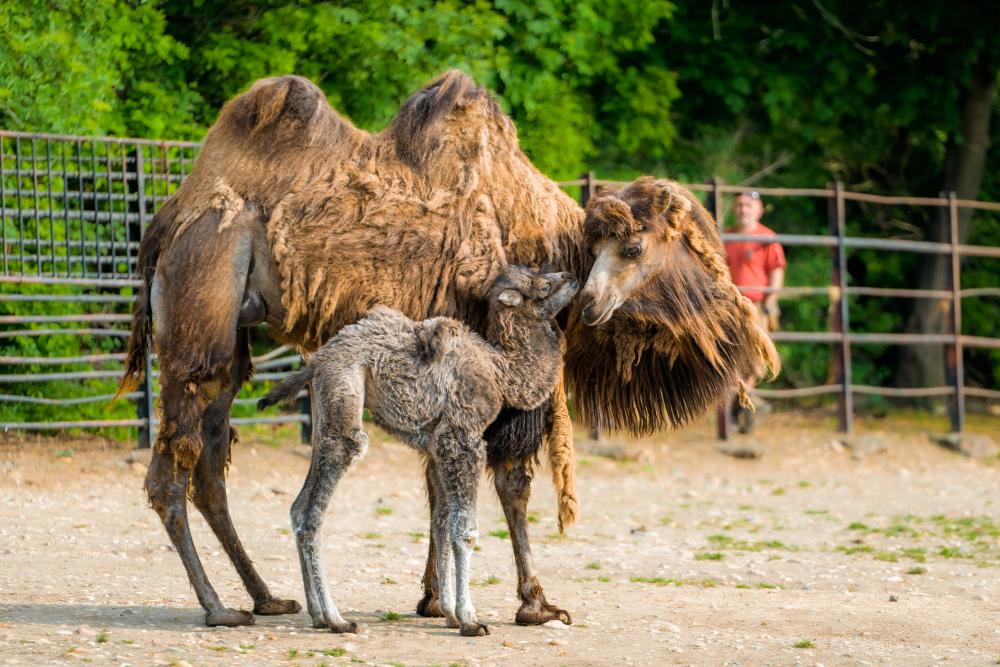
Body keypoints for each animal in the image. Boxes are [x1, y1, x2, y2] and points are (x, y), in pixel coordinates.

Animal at [258, 266, 580, 636]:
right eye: (544, 285)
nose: (572, 276)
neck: (503, 373)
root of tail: (318, 360)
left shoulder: (440, 448)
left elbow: (442, 524)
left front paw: (451, 614)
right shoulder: (463, 439)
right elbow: (464, 529)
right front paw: (470, 620)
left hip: (325, 413)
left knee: (299, 507)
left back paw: (316, 615)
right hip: (345, 389)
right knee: (318, 503)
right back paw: (336, 619)